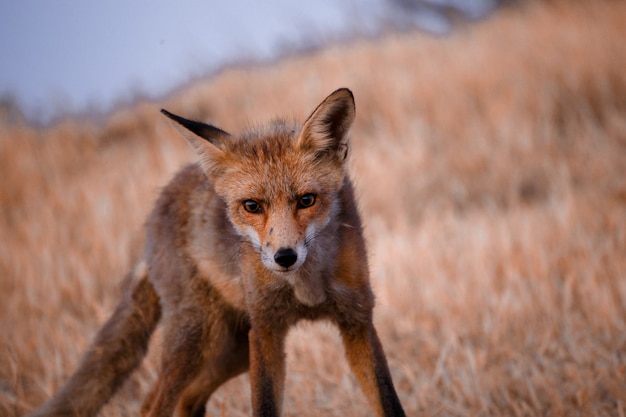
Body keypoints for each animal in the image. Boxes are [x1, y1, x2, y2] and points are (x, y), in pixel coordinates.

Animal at [29, 88, 404, 416]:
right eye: (252, 206)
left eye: (306, 200)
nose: (284, 257)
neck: (306, 286)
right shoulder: (265, 329)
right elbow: (264, 407)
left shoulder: (356, 319)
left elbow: (388, 403)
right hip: (198, 338)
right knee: (154, 405)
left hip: (231, 346)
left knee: (187, 400)